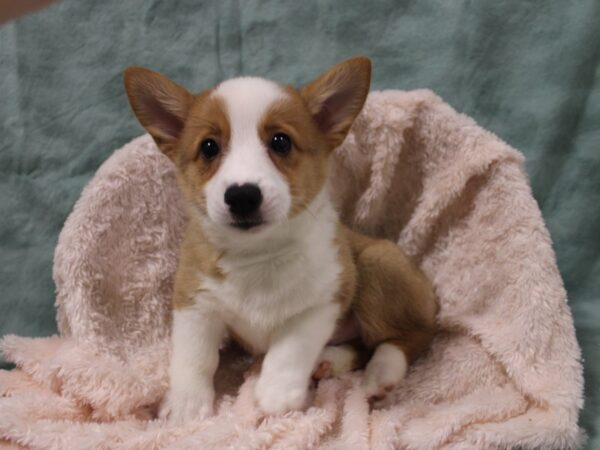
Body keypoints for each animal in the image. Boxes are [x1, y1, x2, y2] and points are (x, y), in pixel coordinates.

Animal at [123, 56, 436, 422]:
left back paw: (380, 373)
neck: (256, 256)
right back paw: (331, 360)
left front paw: (276, 395)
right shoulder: (194, 302)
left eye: (281, 142)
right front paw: (187, 405)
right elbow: (194, 356)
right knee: (361, 346)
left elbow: (290, 348)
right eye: (209, 147)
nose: (242, 196)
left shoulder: (322, 300)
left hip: (378, 264)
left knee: (410, 336)